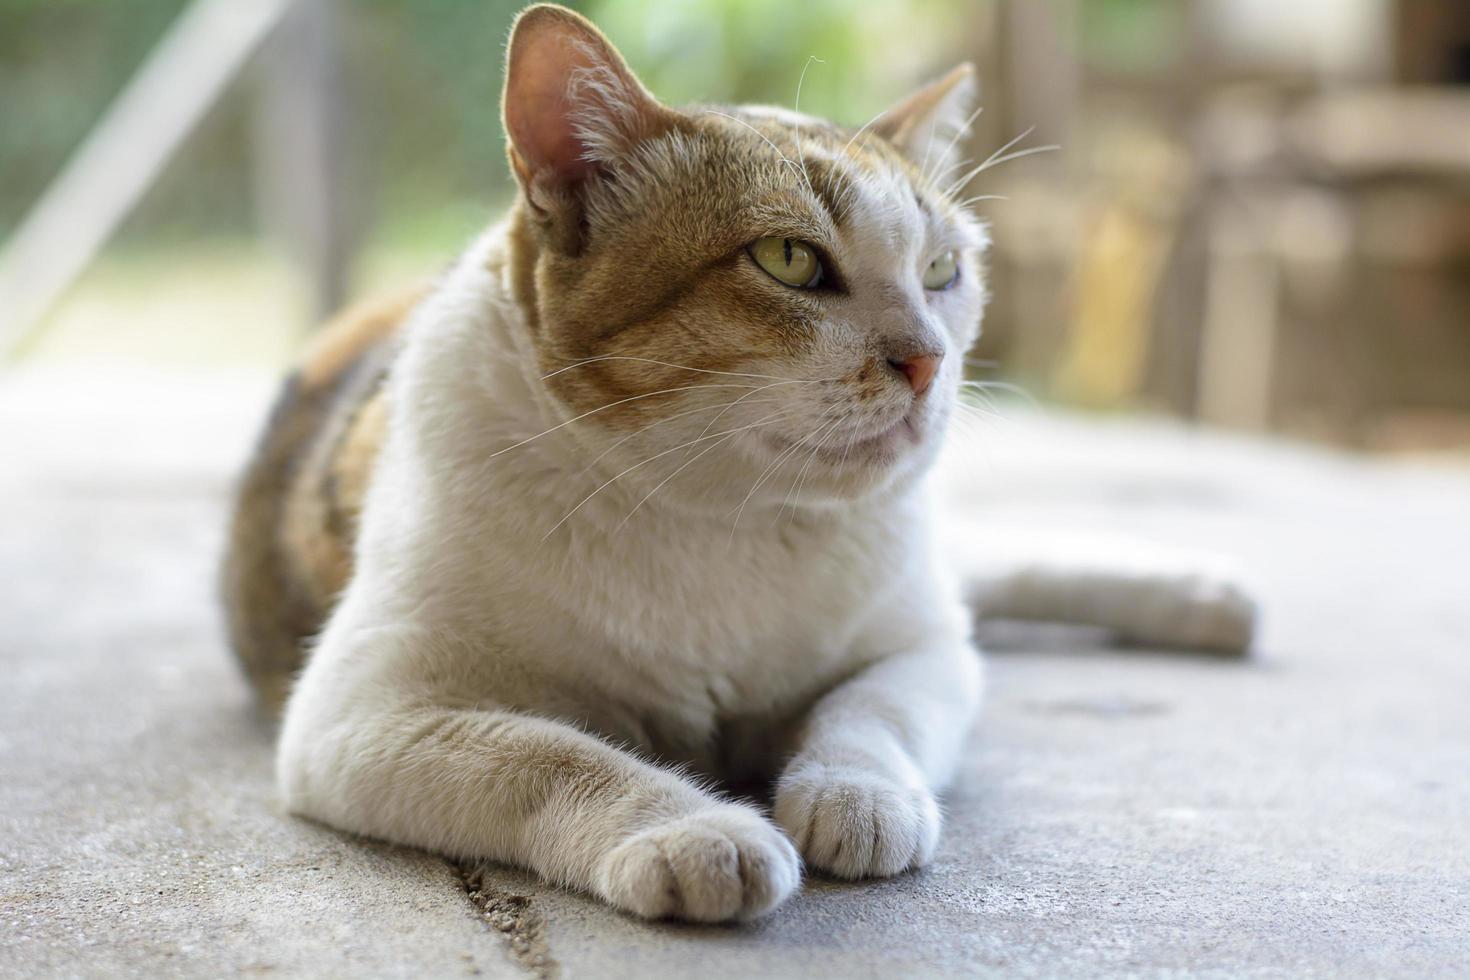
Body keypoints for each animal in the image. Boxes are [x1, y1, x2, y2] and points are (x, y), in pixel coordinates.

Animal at [217, 3, 1252, 922]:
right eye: (790, 259)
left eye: (942, 272)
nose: (929, 359)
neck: (728, 517)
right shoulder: (361, 716)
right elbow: (555, 757)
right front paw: (694, 833)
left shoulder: (924, 647)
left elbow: (870, 712)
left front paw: (858, 795)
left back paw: (1207, 597)